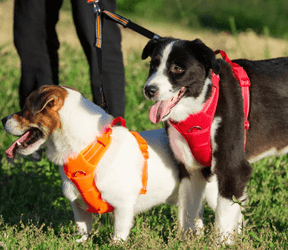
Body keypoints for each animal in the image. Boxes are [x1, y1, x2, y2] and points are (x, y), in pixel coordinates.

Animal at [2, 85, 205, 241]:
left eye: (26, 108)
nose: (3, 119)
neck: (86, 148)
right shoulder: (78, 207)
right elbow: (83, 230)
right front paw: (81, 242)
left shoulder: (123, 206)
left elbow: (119, 234)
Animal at [142, 37, 288, 244]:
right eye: (153, 65)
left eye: (177, 68)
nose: (149, 90)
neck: (204, 102)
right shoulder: (191, 170)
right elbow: (187, 214)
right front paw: (187, 243)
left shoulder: (233, 170)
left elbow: (223, 221)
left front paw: (223, 245)